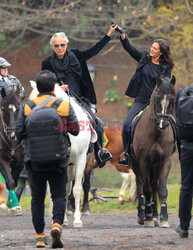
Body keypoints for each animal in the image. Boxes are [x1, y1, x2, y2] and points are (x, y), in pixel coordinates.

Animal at [132, 75, 176, 228]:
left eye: (172, 99)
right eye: (158, 97)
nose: (163, 123)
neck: (156, 133)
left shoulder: (165, 161)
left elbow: (161, 190)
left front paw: (163, 218)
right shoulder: (144, 162)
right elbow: (146, 190)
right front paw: (149, 218)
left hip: (155, 167)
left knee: (155, 186)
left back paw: (156, 215)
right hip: (136, 165)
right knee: (141, 185)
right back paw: (142, 215)